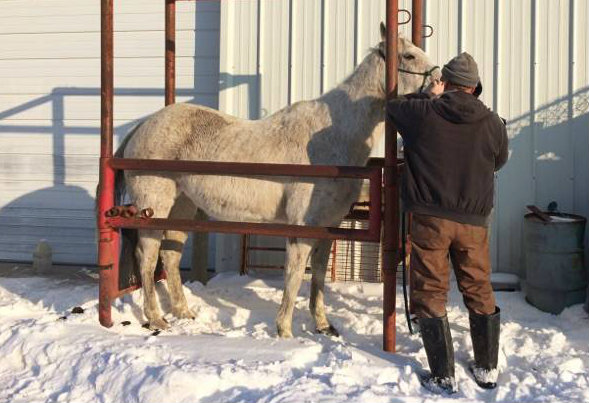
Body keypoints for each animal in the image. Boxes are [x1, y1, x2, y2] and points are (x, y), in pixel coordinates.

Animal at [113, 23, 436, 336]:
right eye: (409, 56)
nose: (437, 83)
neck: (333, 137)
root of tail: (144, 125)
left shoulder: (328, 226)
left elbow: (319, 275)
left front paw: (323, 325)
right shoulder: (302, 227)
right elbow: (294, 276)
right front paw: (285, 331)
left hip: (183, 206)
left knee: (170, 255)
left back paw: (183, 313)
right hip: (155, 206)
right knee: (148, 256)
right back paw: (156, 318)